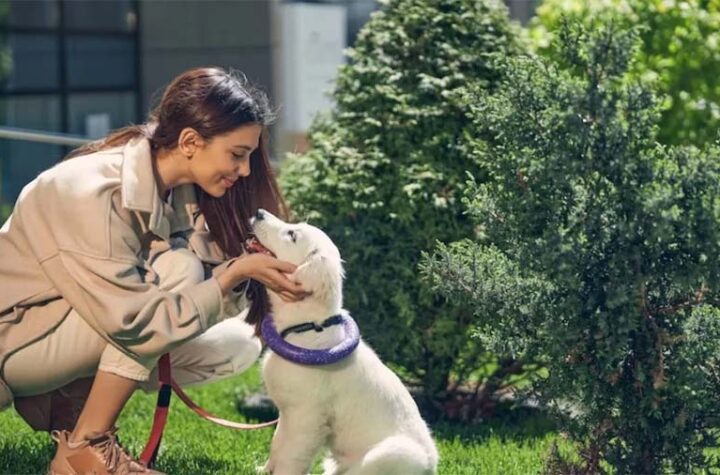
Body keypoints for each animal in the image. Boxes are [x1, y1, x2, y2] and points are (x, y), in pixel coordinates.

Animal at [250, 209, 438, 475]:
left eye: (292, 234)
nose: (258, 212)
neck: (309, 325)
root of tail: (432, 466)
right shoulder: (287, 415)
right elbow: (277, 444)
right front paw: (264, 469)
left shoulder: (306, 418)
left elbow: (291, 456)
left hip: (390, 454)